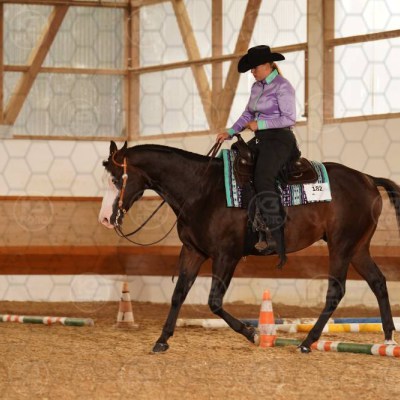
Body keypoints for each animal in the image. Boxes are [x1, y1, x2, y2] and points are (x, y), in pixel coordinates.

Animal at [99, 140, 400, 353]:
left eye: (116, 179)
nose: (105, 219)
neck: (201, 189)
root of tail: (368, 179)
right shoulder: (193, 252)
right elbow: (178, 295)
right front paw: (162, 340)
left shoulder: (226, 256)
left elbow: (214, 302)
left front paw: (253, 333)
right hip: (358, 248)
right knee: (378, 282)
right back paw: (387, 338)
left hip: (341, 246)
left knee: (336, 292)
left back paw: (307, 342)